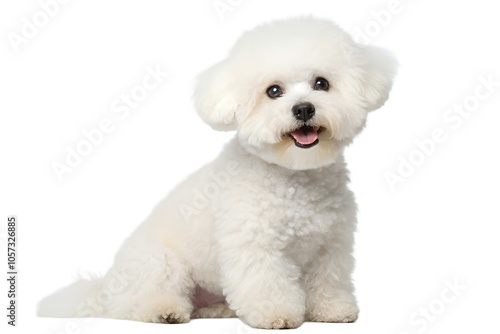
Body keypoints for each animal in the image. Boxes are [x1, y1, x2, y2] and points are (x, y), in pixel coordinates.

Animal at [39, 16, 396, 328]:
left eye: (321, 83)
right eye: (273, 91)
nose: (304, 109)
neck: (294, 176)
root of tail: (102, 290)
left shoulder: (330, 246)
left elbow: (328, 280)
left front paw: (332, 309)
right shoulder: (255, 246)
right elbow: (267, 283)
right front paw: (276, 314)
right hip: (161, 265)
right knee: (134, 304)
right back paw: (164, 311)